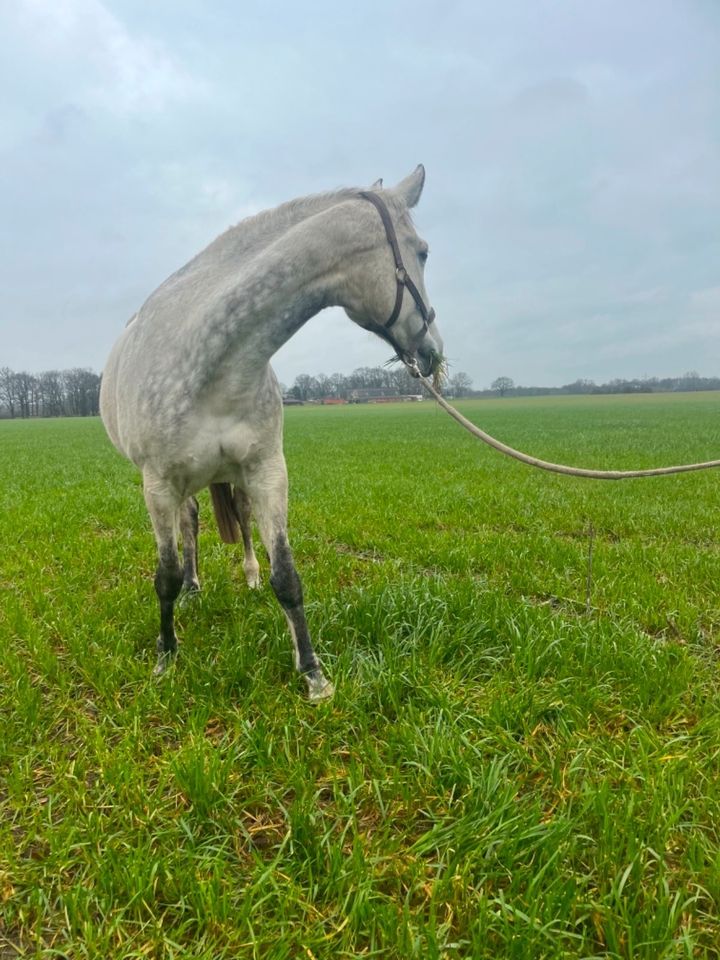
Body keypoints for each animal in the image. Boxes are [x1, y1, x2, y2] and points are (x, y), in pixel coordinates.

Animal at [98, 165, 442, 700]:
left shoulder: (266, 472)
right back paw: (193, 590)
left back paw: (248, 576)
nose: (432, 352)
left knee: (231, 520)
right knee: (189, 525)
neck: (211, 364)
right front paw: (165, 658)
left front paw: (313, 674)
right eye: (422, 251)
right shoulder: (157, 485)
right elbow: (165, 575)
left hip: (230, 476)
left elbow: (287, 575)